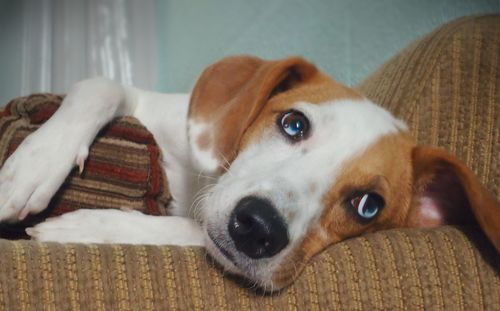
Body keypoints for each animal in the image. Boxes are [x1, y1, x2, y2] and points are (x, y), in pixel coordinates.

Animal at [0, 56, 496, 292]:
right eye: (294, 123)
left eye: (368, 205)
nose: (259, 227)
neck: (192, 187)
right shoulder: (150, 106)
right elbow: (100, 86)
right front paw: (29, 168)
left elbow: (188, 230)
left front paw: (93, 226)